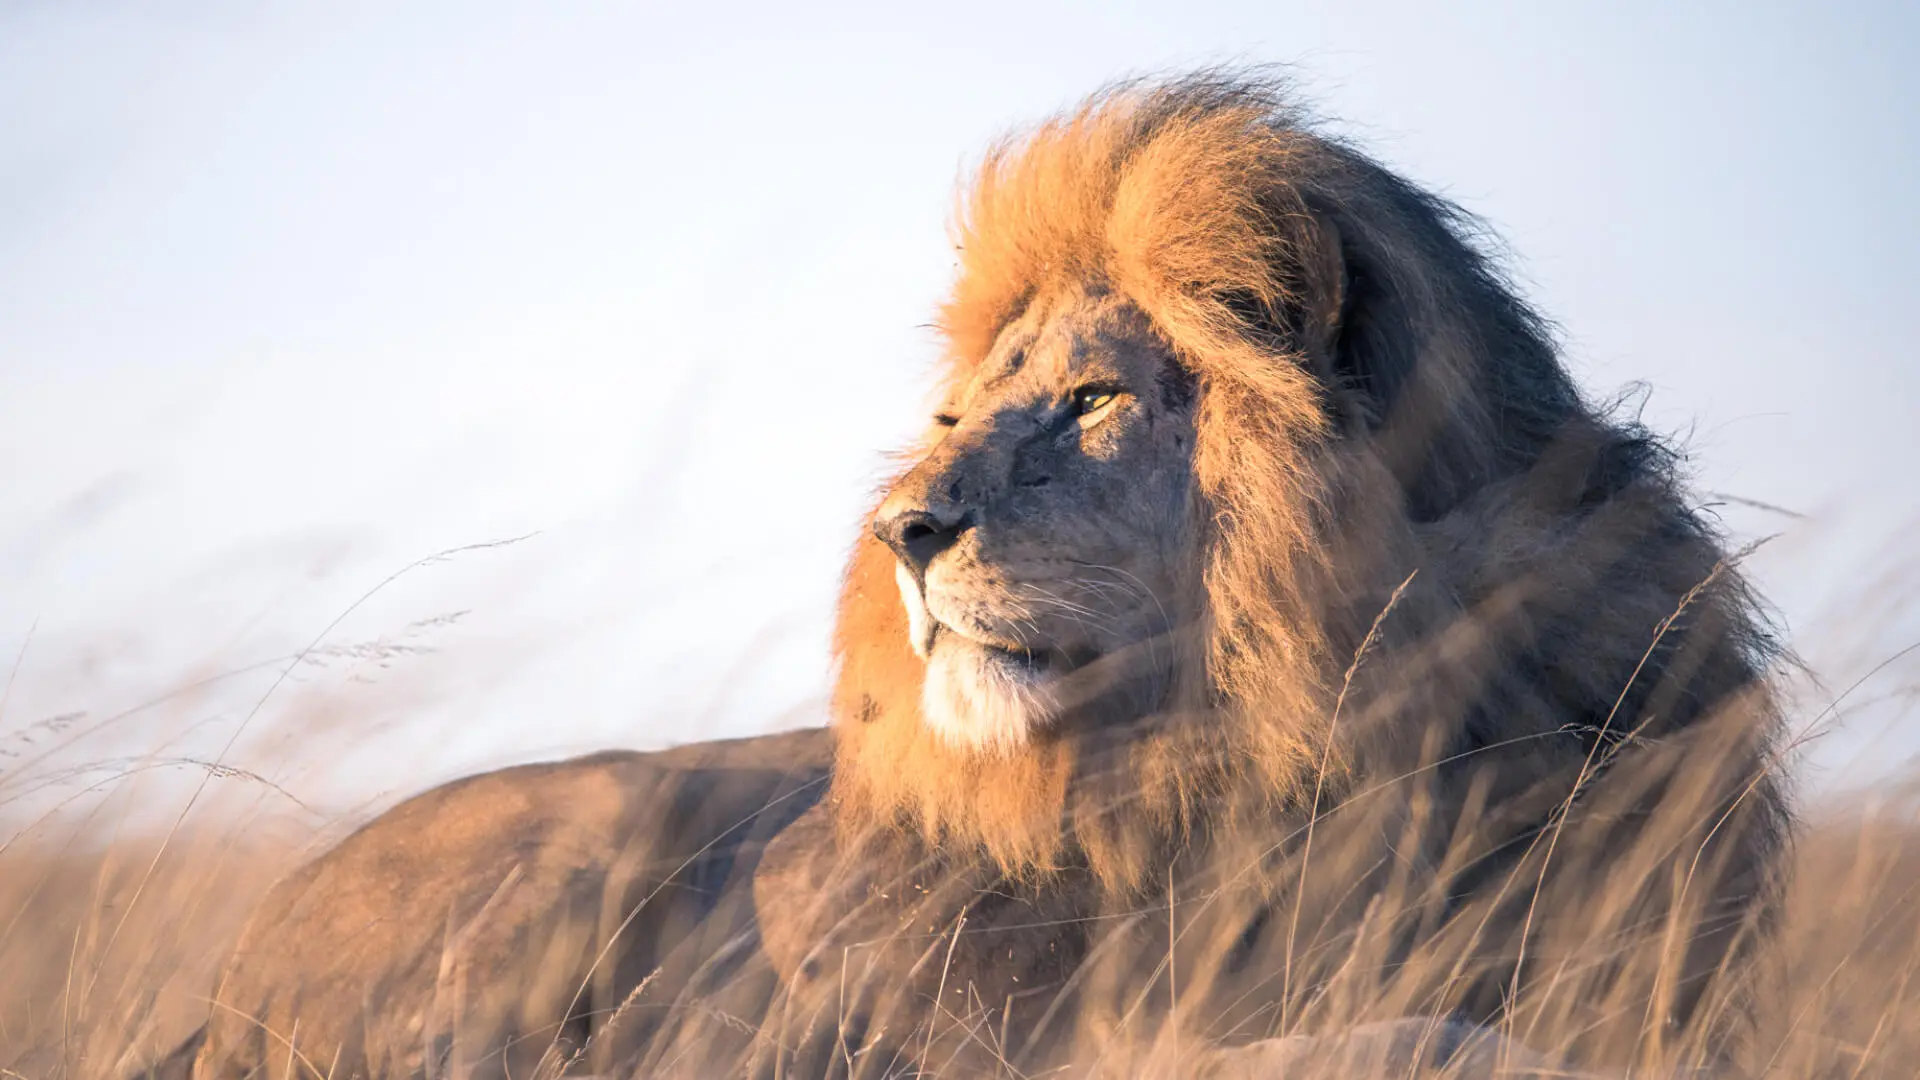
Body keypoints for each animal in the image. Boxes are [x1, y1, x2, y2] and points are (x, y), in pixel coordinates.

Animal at [143, 71, 1788, 1079]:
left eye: (1093, 400)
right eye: (950, 423)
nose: (903, 534)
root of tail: (225, 964)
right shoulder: (1090, 1049)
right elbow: (1420, 1039)